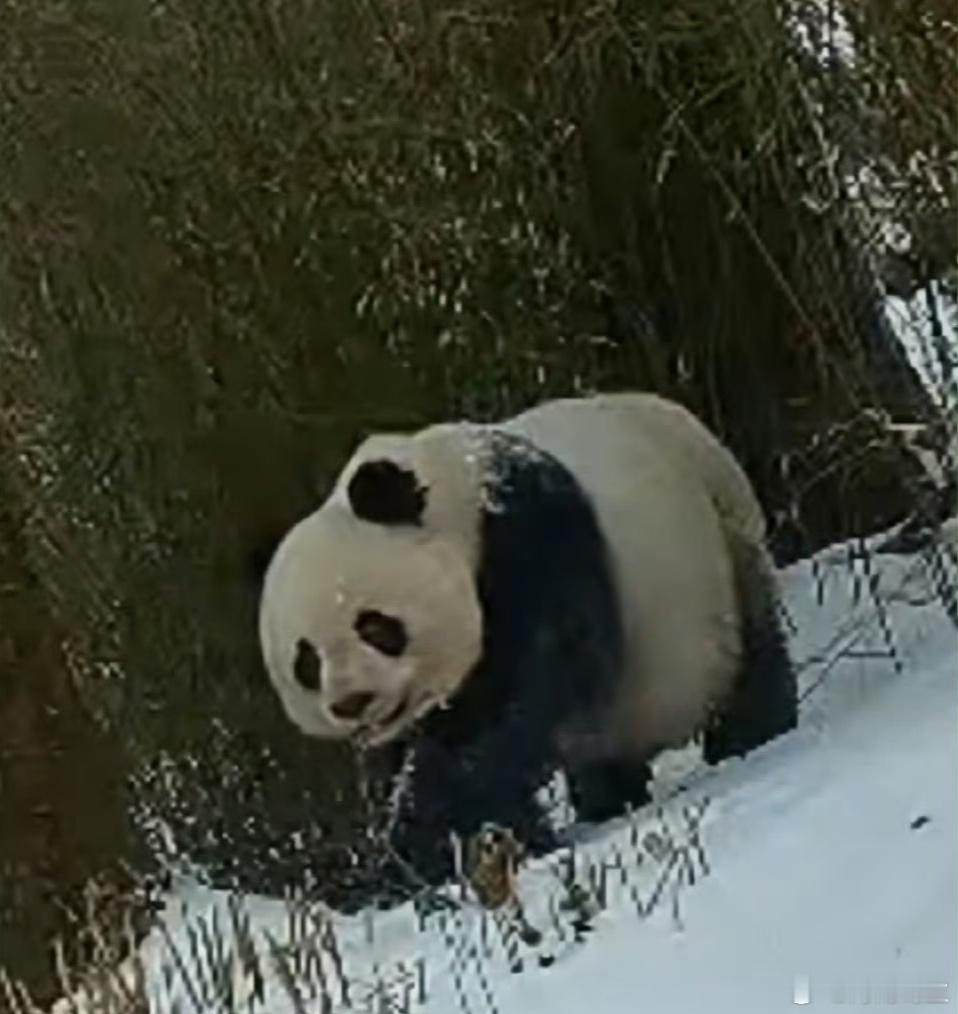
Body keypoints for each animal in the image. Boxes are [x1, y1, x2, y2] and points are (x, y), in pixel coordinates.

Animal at [257, 391, 794, 892]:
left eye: (374, 626)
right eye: (306, 662)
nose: (352, 701)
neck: (457, 491)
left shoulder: (531, 542)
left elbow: (518, 704)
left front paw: (430, 853)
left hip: (720, 536)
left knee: (753, 649)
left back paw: (749, 740)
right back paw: (608, 799)